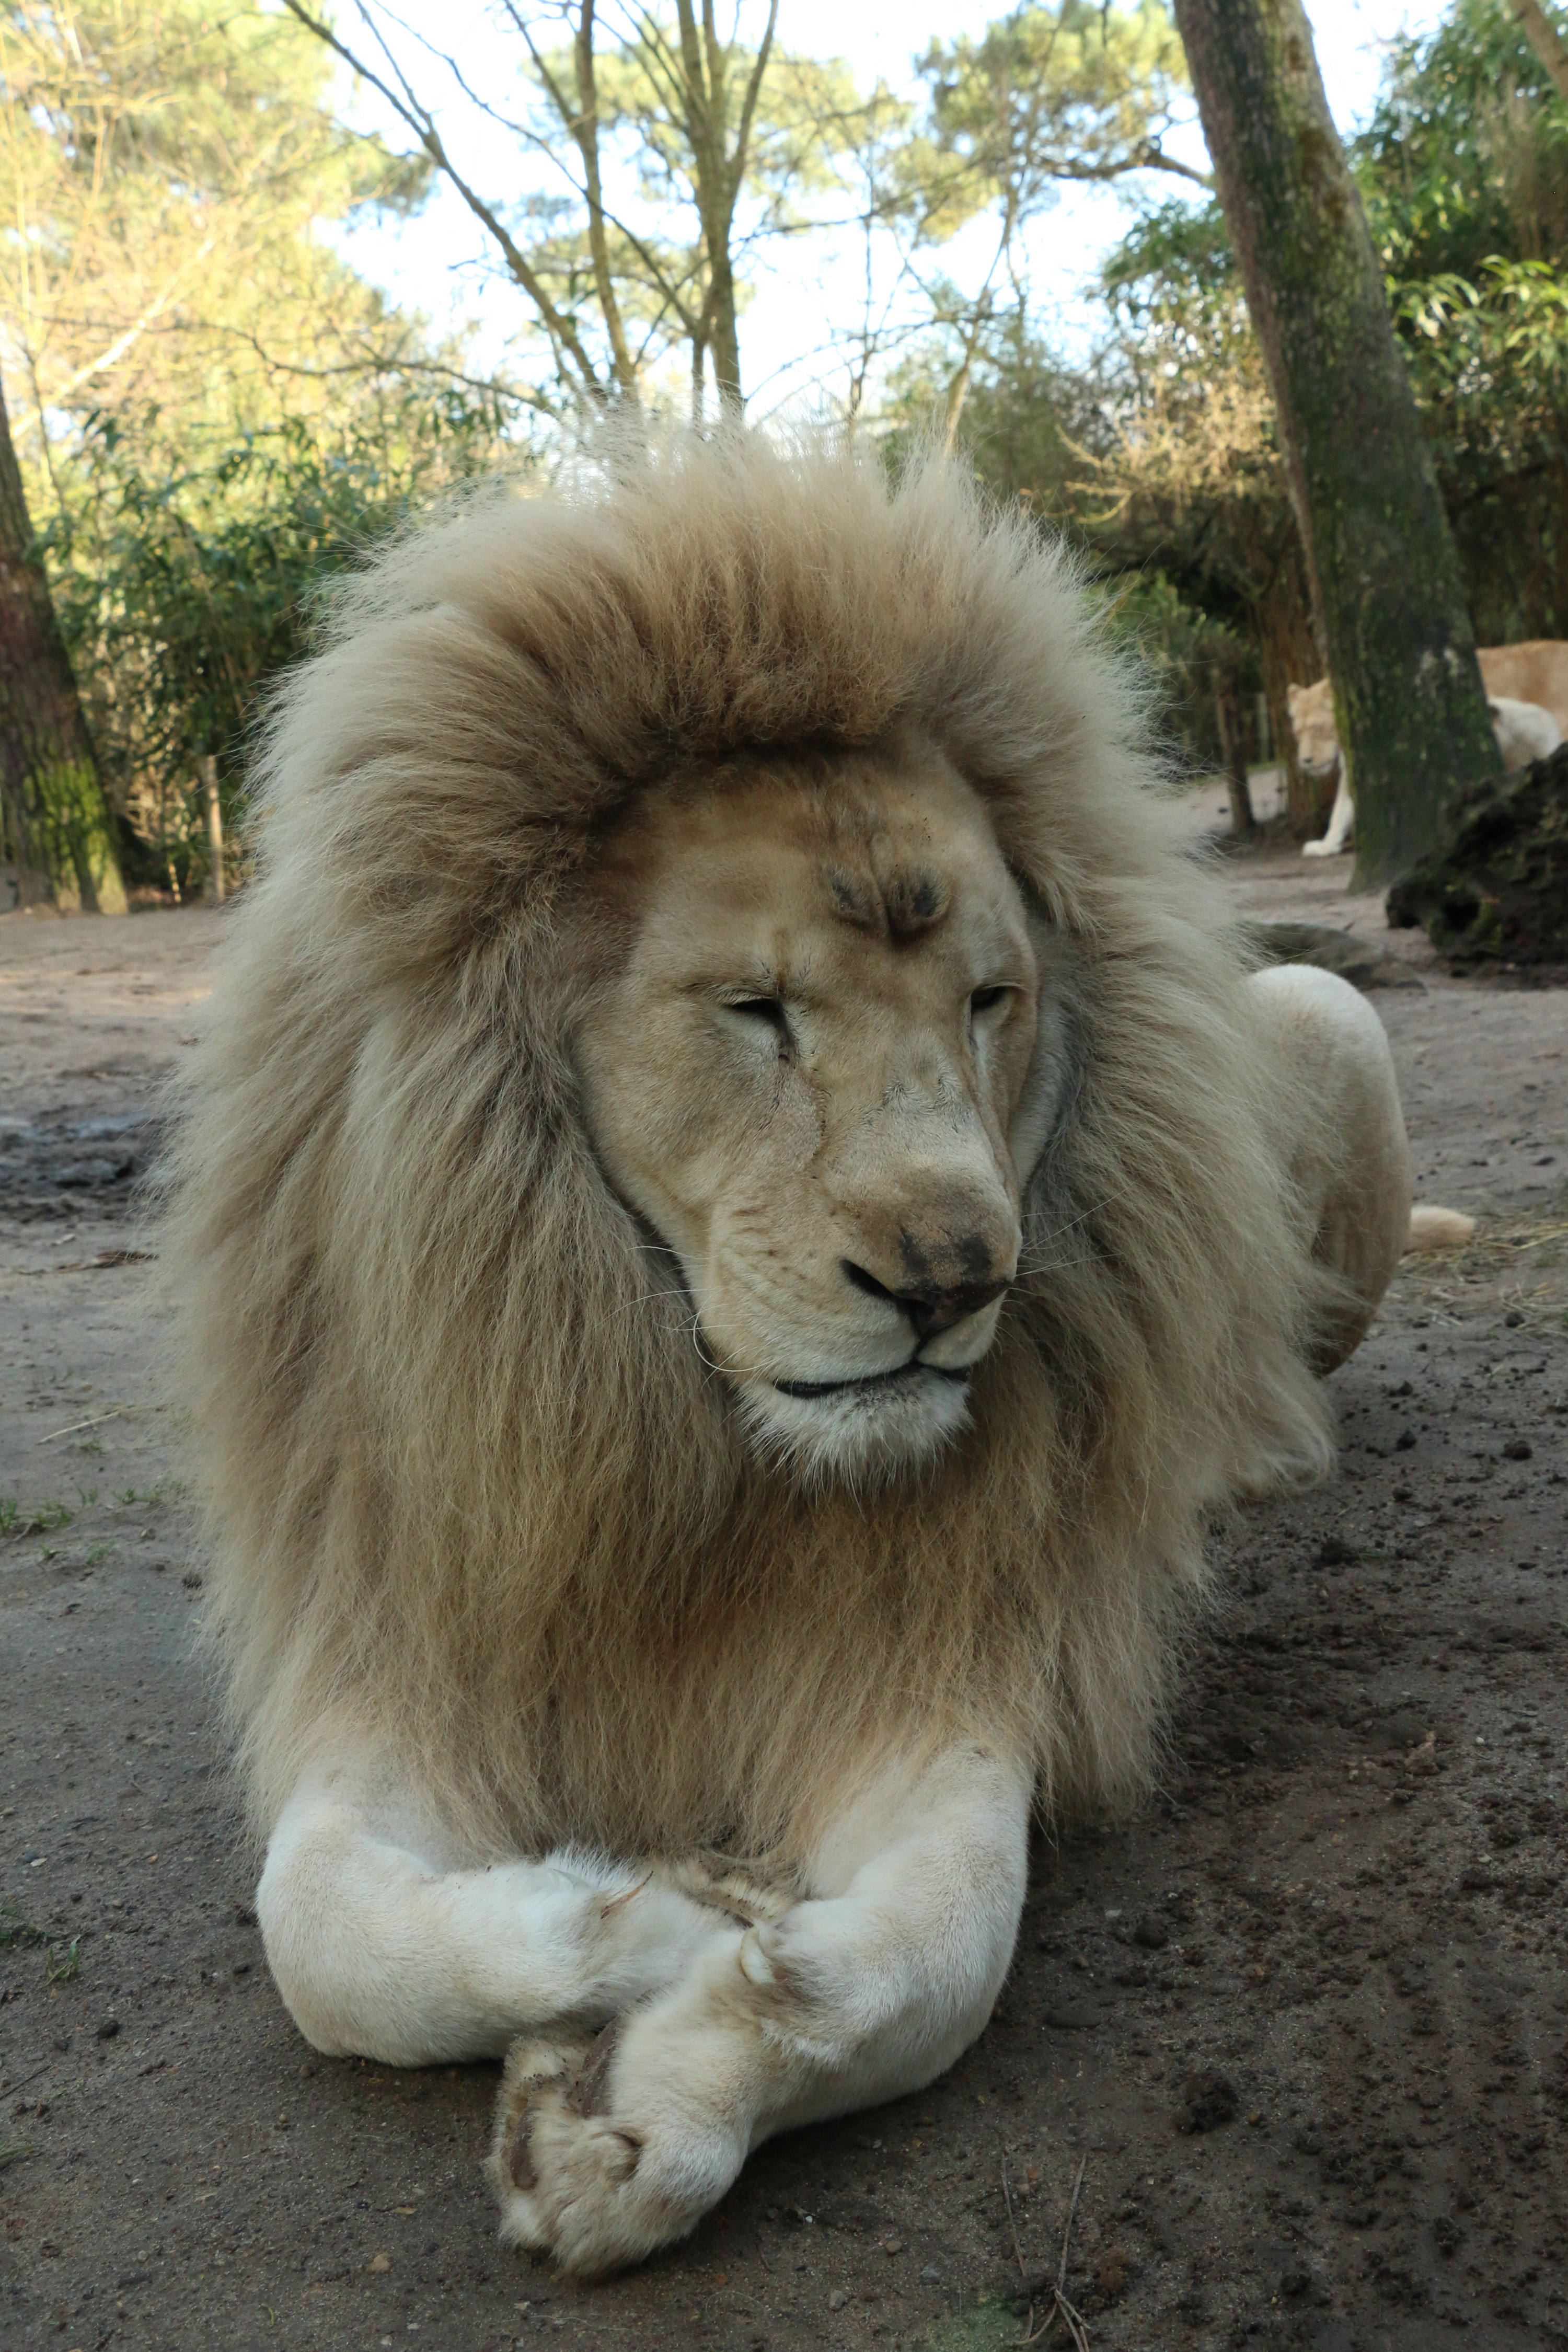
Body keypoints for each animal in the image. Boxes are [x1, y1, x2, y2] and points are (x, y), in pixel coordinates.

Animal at [171, 428, 1476, 2277]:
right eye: (755, 1011)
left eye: (992, 999)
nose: (953, 1280)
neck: (694, 1456)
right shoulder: (406, 1652)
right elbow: (319, 1934)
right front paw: (670, 1918)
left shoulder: (948, 1663)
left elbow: (932, 1962)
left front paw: (659, 2083)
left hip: (1327, 1008)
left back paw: (1255, 1446)